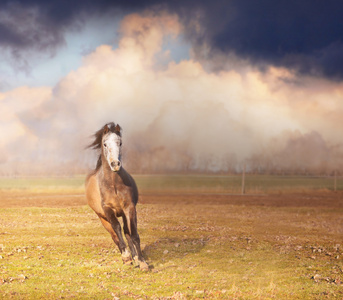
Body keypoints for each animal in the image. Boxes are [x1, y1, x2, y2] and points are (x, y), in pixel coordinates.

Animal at [85, 120, 148, 270]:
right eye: (105, 144)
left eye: (120, 143)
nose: (115, 164)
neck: (113, 185)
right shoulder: (108, 210)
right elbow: (117, 229)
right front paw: (126, 257)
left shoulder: (129, 207)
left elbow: (133, 233)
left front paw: (142, 261)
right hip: (102, 217)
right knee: (114, 235)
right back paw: (127, 258)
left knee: (127, 231)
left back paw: (135, 258)